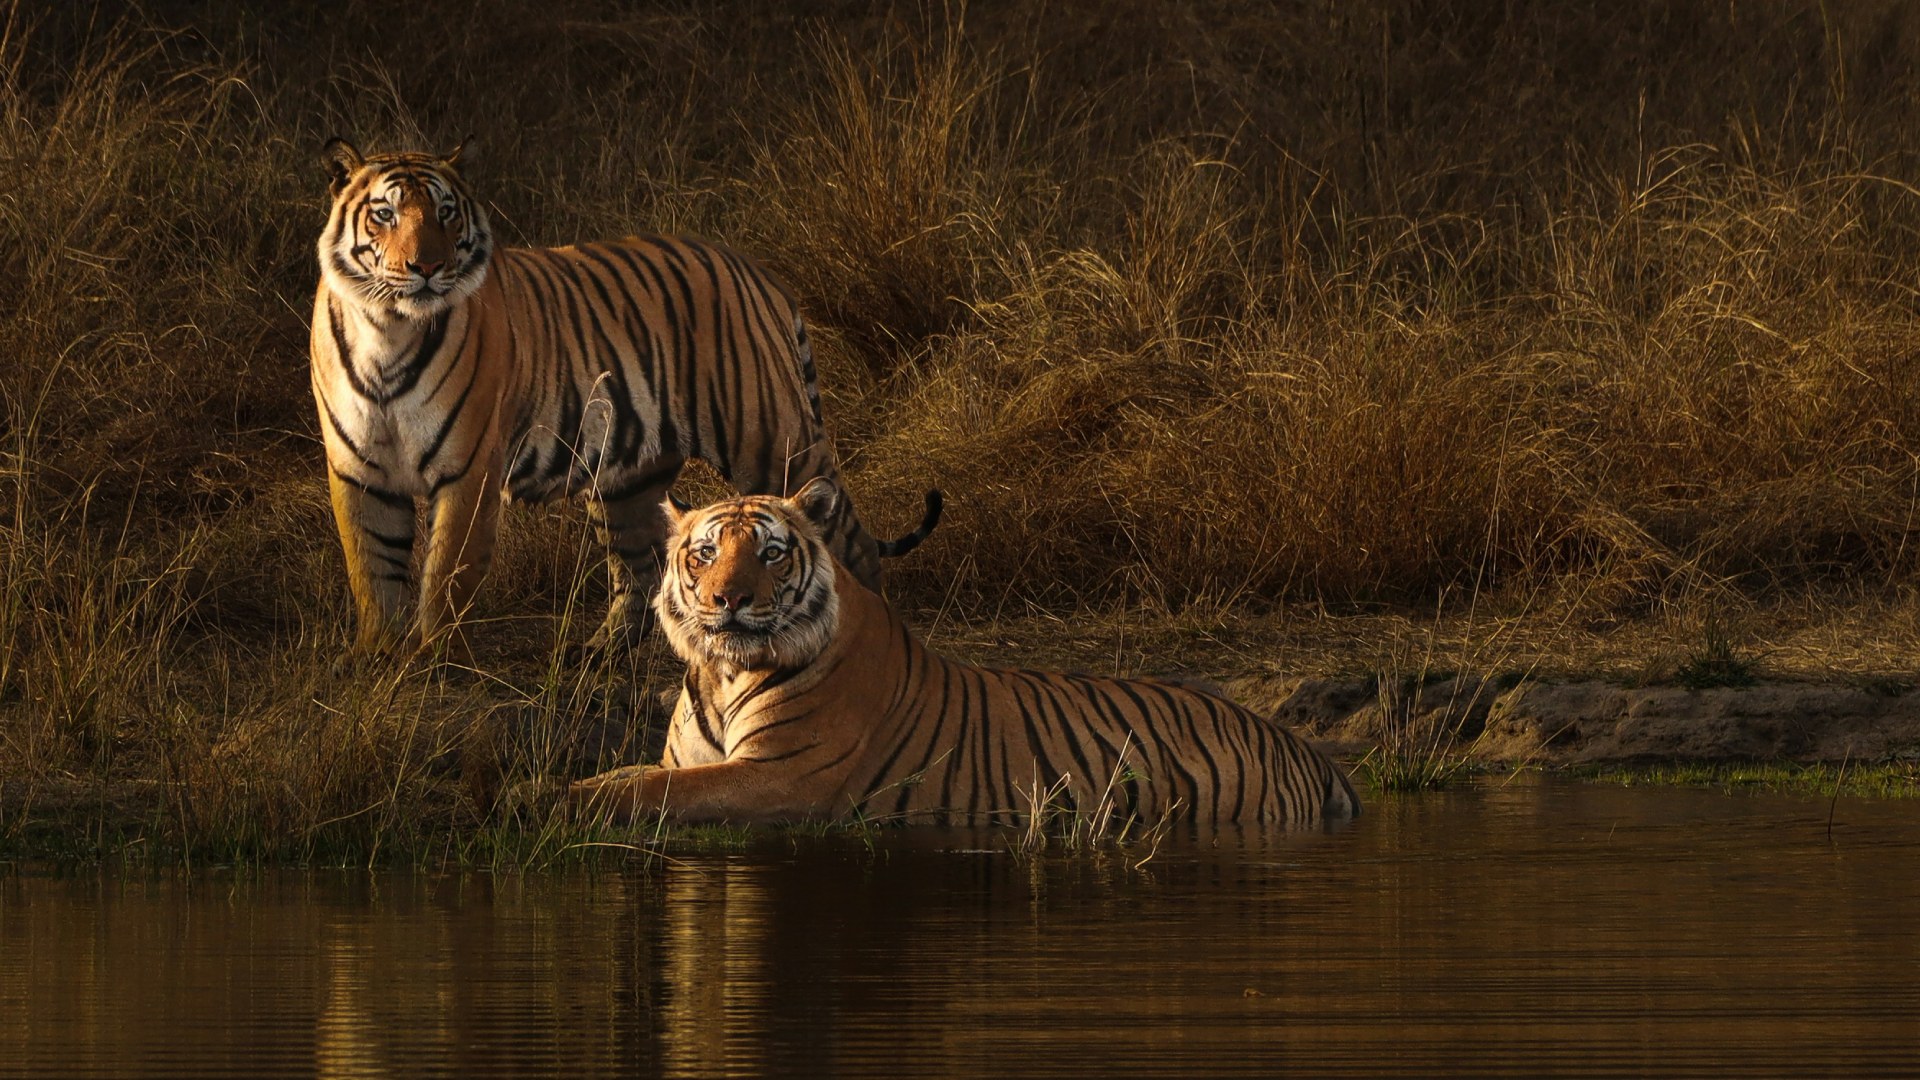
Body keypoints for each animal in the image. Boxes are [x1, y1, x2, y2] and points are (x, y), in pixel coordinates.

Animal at [310, 138, 939, 659]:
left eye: (446, 212)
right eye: (385, 213)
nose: (427, 267)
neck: (388, 330)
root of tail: (756, 270)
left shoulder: (467, 470)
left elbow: (446, 573)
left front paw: (431, 657)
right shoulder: (358, 470)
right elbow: (371, 567)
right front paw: (377, 657)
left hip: (774, 442)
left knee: (848, 543)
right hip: (626, 477)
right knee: (641, 569)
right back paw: (601, 652)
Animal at [567, 480, 1361, 827]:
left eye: (769, 553)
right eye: (704, 553)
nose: (727, 599)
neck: (723, 671)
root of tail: (1303, 747)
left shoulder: (780, 778)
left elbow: (649, 792)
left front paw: (546, 798)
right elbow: (633, 776)